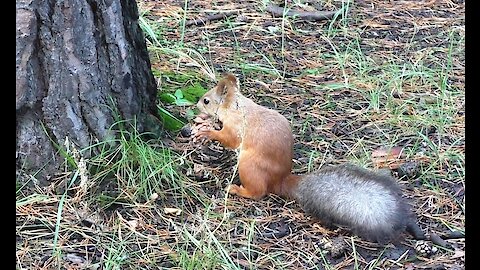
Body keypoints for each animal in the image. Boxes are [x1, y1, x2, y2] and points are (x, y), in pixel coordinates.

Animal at [191, 73, 424, 244]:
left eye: (206, 100)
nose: (196, 106)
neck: (235, 105)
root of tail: (280, 180)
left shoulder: (236, 125)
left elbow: (230, 139)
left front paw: (207, 132)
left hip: (248, 165)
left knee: (258, 192)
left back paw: (238, 190)